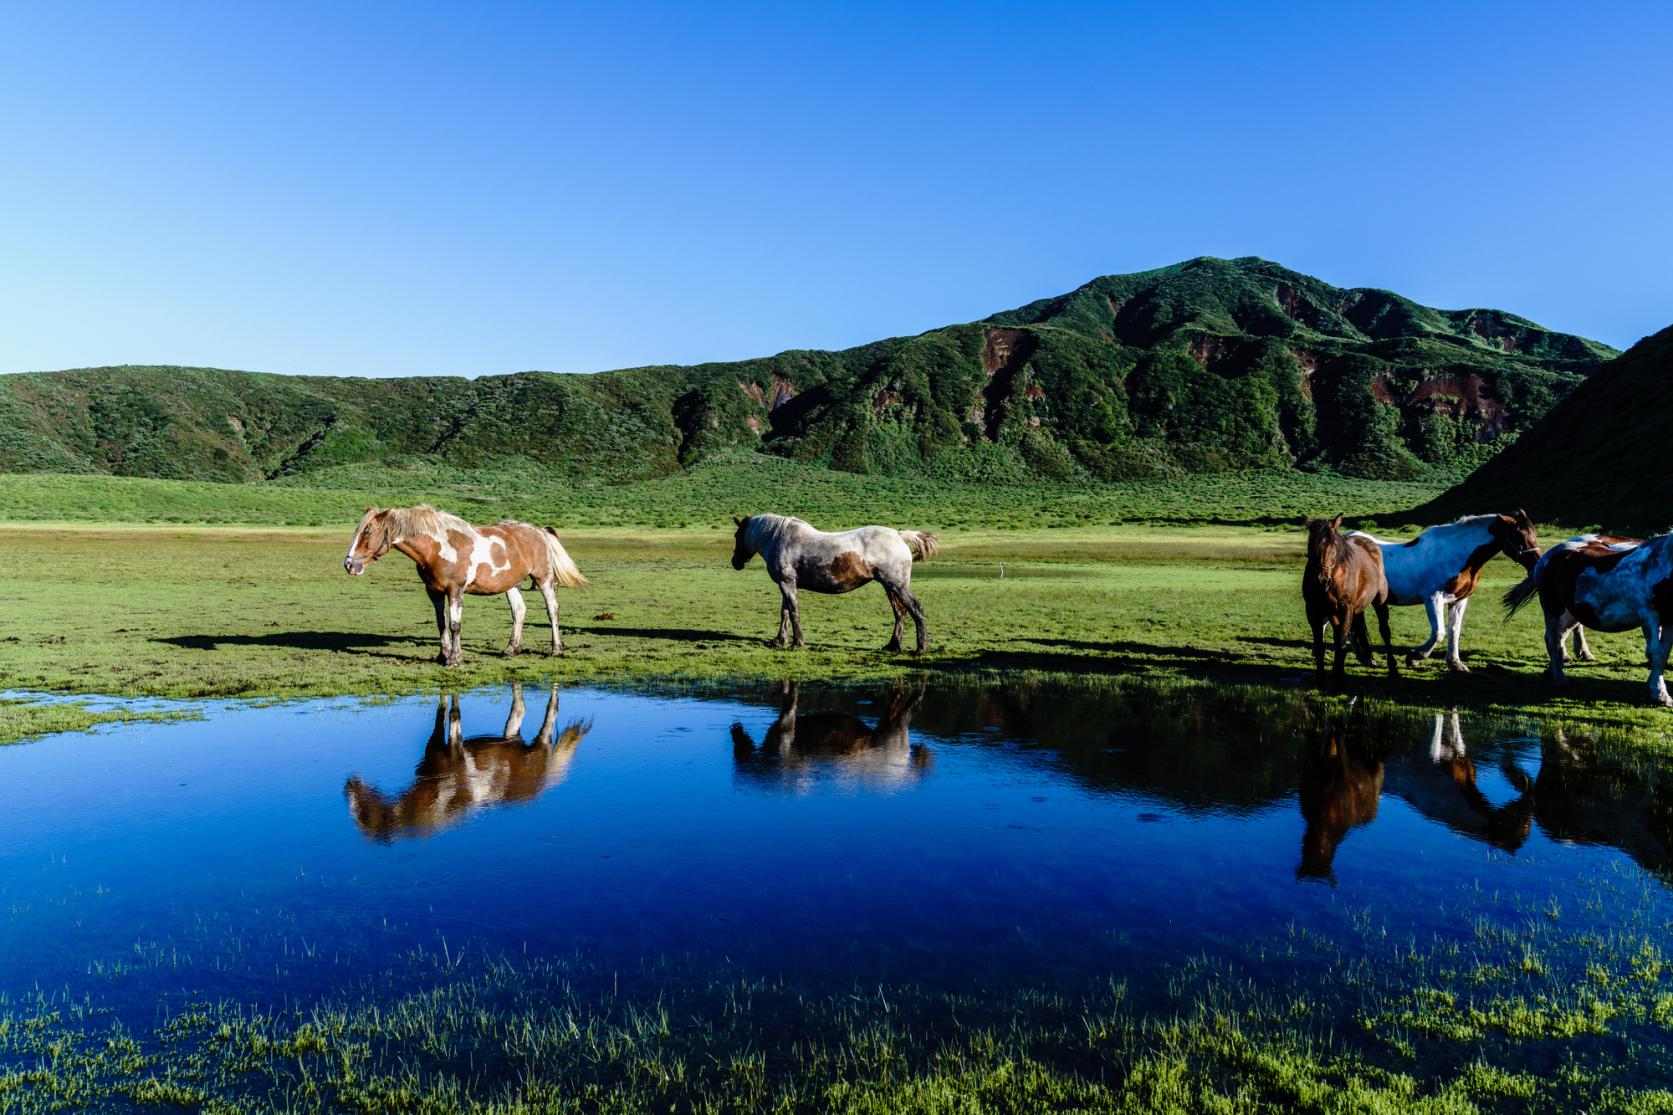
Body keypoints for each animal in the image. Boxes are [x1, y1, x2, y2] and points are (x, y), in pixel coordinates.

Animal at [342, 502, 592, 662]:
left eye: (368, 530)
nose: (349, 564)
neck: (436, 548)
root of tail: (540, 531)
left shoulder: (455, 590)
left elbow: (455, 624)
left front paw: (454, 658)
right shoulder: (433, 591)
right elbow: (442, 624)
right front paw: (442, 655)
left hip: (543, 580)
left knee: (553, 611)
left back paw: (556, 649)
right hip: (512, 585)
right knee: (519, 612)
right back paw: (511, 649)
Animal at [732, 512, 943, 652]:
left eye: (736, 535)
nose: (735, 562)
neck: (778, 538)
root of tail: (899, 536)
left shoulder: (787, 584)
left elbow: (793, 612)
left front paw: (798, 642)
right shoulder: (786, 585)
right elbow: (784, 612)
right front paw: (779, 640)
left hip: (898, 586)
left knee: (915, 610)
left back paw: (921, 648)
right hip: (890, 587)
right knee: (900, 613)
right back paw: (892, 646)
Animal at [1304, 512, 1398, 676]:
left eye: (1334, 545)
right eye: (1311, 543)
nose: (1322, 580)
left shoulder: (1346, 609)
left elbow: (1341, 643)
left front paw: (1338, 674)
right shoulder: (1313, 610)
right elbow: (1321, 647)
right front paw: (1322, 677)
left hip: (1379, 602)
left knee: (1385, 631)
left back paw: (1392, 667)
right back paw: (1368, 658)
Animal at [1345, 508, 1539, 669]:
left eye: (1534, 534)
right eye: (1519, 536)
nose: (1537, 564)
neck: (1458, 554)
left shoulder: (1459, 600)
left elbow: (1454, 631)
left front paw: (1455, 663)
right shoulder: (1433, 598)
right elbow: (1439, 632)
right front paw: (1415, 656)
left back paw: (1367, 658)